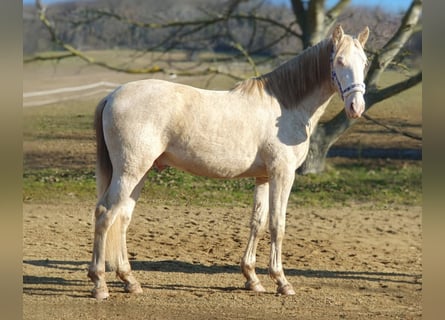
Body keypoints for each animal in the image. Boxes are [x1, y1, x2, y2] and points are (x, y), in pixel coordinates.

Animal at [86, 25, 368, 300]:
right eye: (340, 60)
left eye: (364, 62)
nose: (356, 106)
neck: (286, 106)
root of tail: (112, 96)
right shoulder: (282, 173)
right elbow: (278, 224)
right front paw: (281, 281)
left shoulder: (264, 177)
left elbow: (258, 222)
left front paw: (252, 279)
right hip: (130, 172)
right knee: (105, 214)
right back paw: (100, 284)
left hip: (139, 173)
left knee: (122, 218)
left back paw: (129, 280)